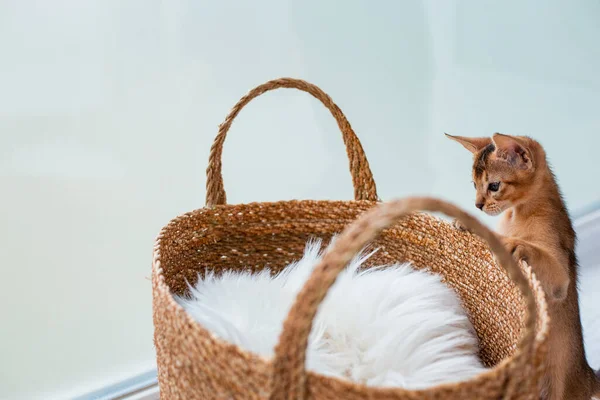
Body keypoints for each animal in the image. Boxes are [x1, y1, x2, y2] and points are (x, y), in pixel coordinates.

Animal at [448, 133, 596, 398]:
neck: (516, 214)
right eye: (474, 185)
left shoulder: (560, 279)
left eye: (493, 186)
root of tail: (588, 373)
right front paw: (469, 224)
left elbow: (533, 251)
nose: (477, 206)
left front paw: (510, 243)